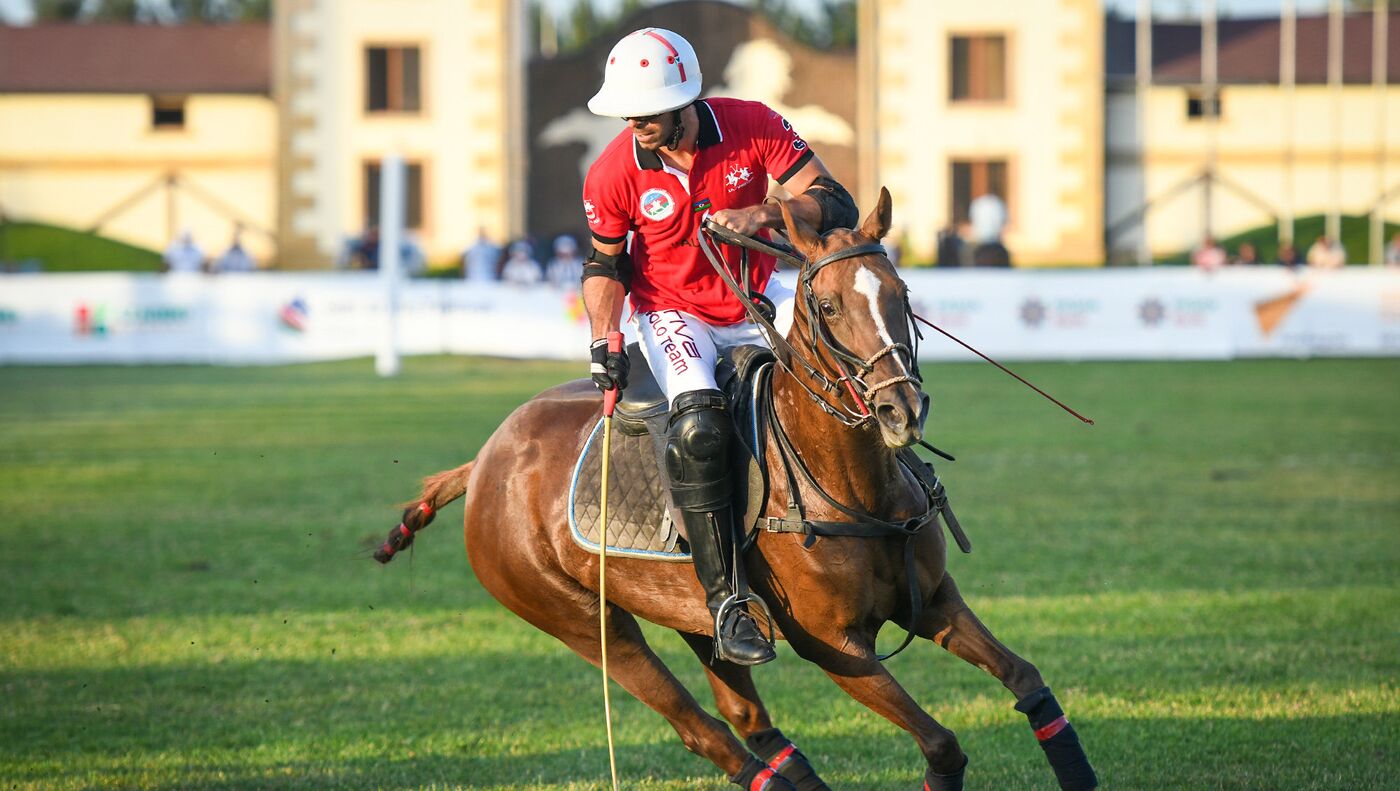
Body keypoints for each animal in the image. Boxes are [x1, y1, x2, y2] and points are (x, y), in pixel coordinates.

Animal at [378, 193, 1097, 789]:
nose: (901, 410)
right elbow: (942, 742)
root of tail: (483, 461)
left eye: (901, 290)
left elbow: (1027, 678)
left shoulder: (934, 600)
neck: (854, 482)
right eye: (828, 305)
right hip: (578, 616)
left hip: (694, 611)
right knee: (702, 728)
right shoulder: (834, 645)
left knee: (745, 714)